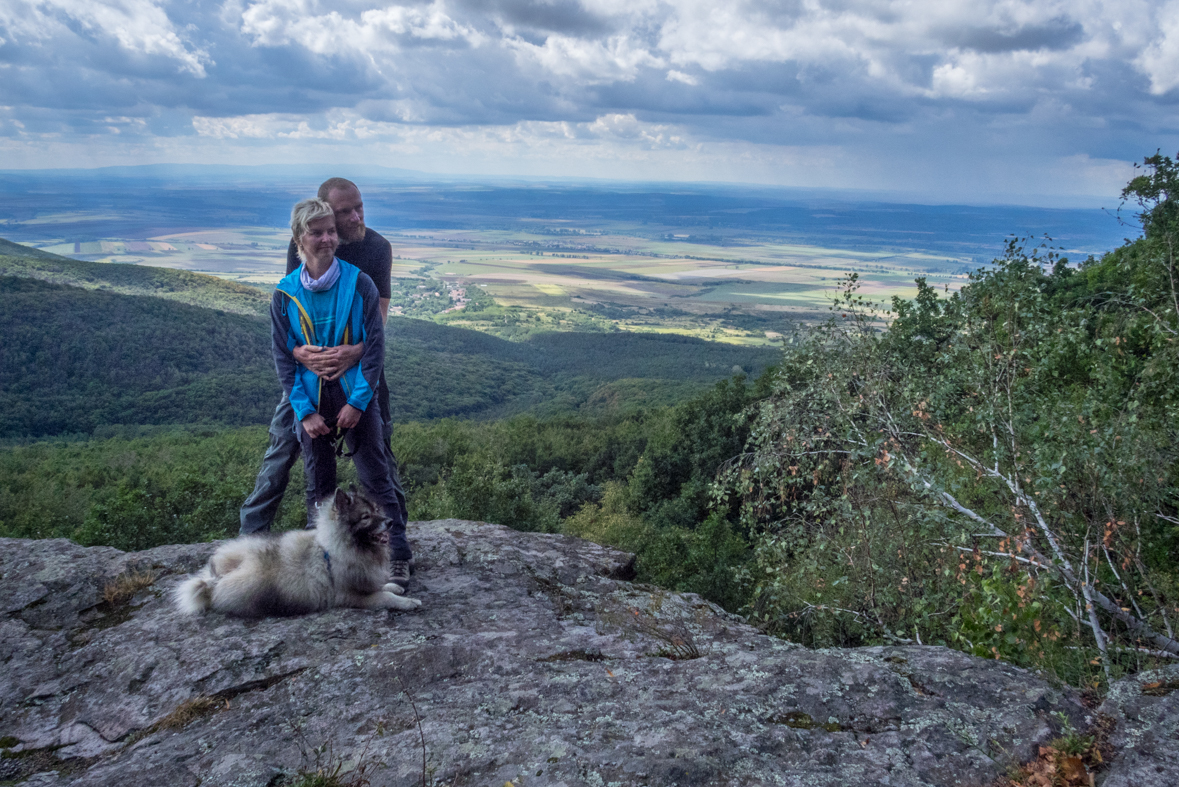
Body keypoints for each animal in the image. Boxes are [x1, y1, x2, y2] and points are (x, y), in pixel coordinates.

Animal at [172, 487, 417, 617]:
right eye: (366, 517)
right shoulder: (351, 596)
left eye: (377, 510)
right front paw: (407, 602)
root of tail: (214, 582)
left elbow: (382, 586)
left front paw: (394, 585)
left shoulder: (364, 579)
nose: (390, 521)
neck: (336, 549)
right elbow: (384, 596)